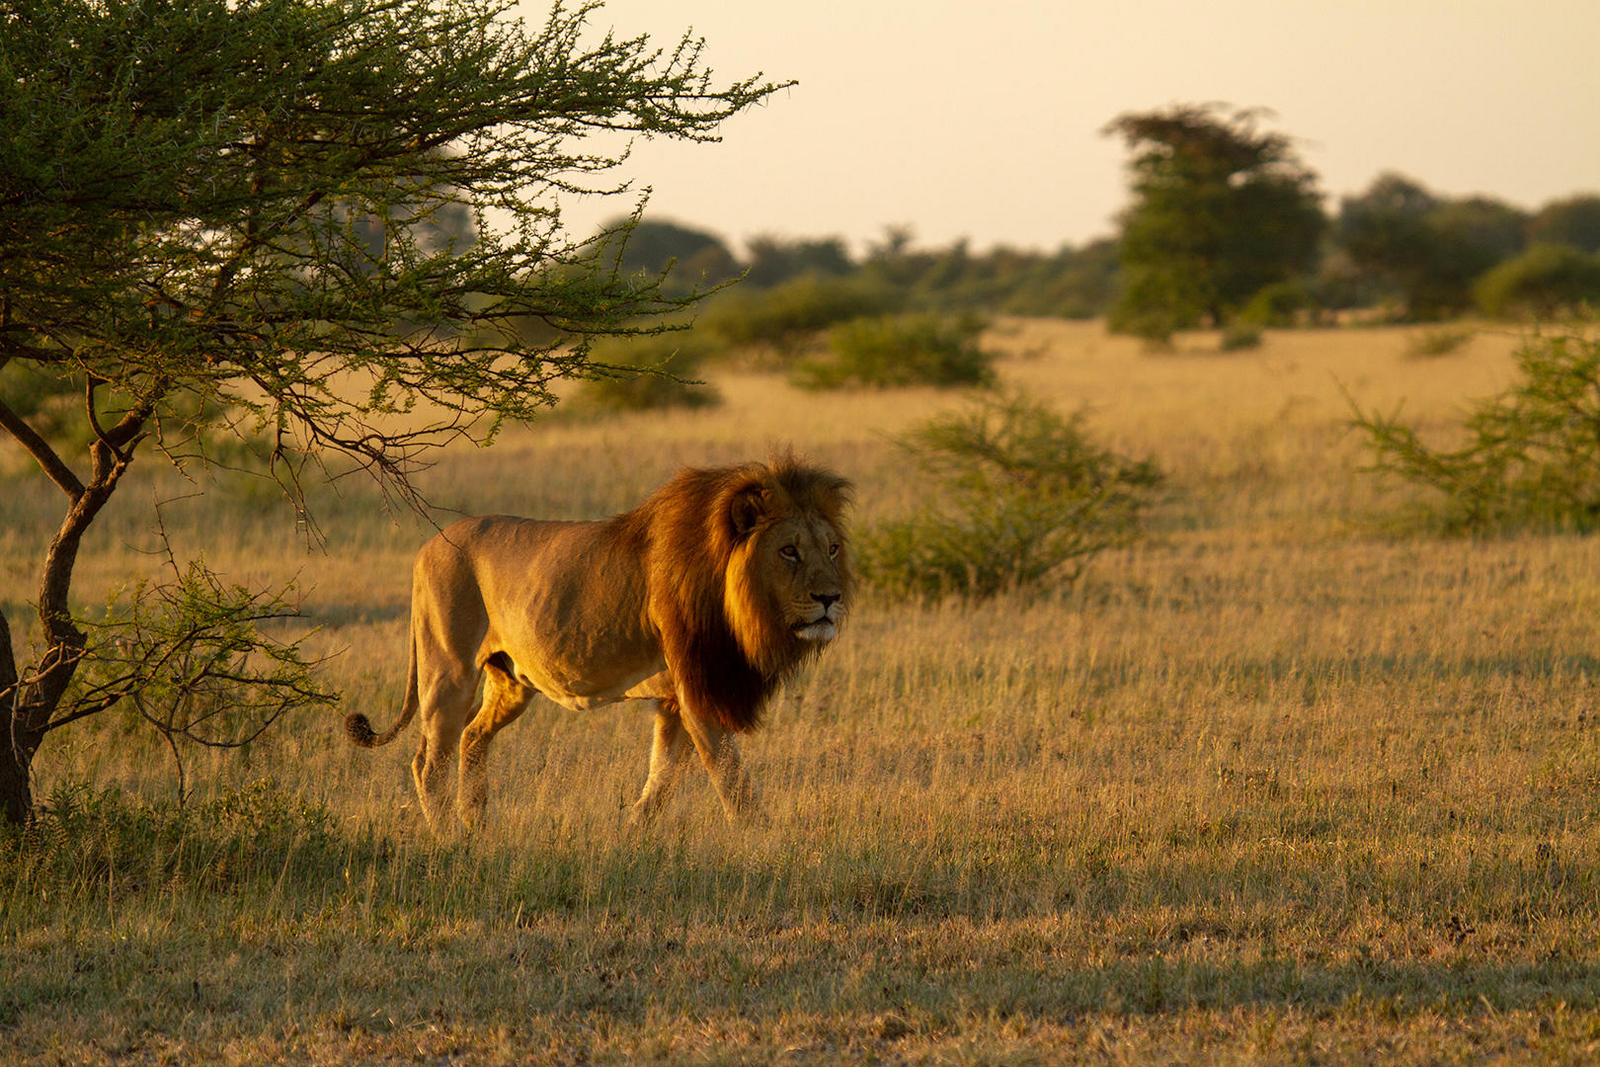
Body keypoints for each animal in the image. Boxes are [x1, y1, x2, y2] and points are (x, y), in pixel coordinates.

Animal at [344, 455, 853, 832]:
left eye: (831, 549)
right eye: (789, 551)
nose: (832, 598)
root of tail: (428, 544)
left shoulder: (676, 698)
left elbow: (663, 775)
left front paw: (633, 829)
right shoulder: (698, 691)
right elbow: (731, 777)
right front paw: (760, 839)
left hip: (511, 683)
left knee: (472, 737)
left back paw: (477, 825)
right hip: (448, 670)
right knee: (428, 762)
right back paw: (448, 835)